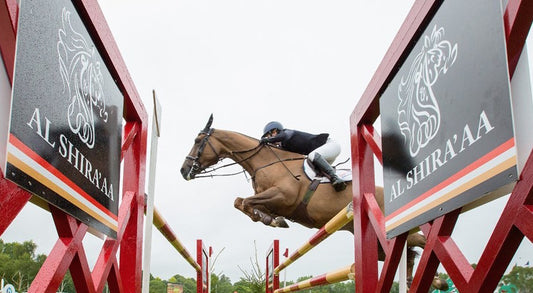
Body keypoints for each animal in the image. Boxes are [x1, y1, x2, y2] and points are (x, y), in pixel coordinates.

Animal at [181, 113, 446, 288]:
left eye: (197, 141)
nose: (183, 171)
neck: (264, 161)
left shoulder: (282, 196)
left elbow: (245, 203)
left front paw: (270, 220)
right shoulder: (269, 199)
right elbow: (240, 202)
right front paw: (270, 219)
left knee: (418, 242)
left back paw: (437, 277)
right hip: (376, 243)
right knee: (409, 251)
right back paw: (417, 278)